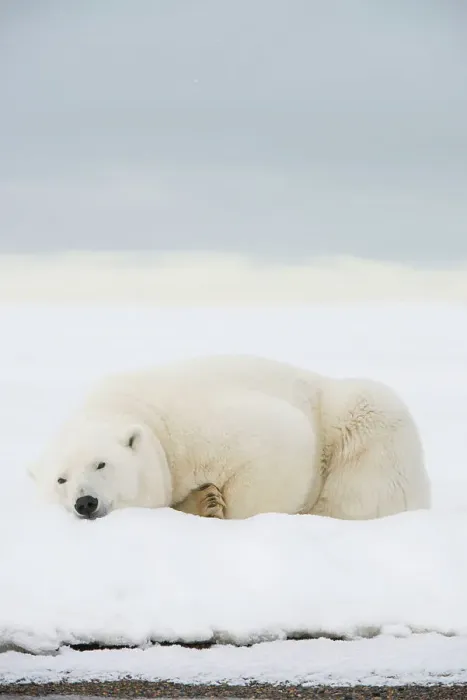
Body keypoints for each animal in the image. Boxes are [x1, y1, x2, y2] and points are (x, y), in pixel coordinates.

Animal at [29, 354, 431, 521]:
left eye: (101, 464)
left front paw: (215, 505)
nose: (85, 502)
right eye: (60, 479)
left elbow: (282, 438)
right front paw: (204, 500)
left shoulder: (191, 426)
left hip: (365, 423)